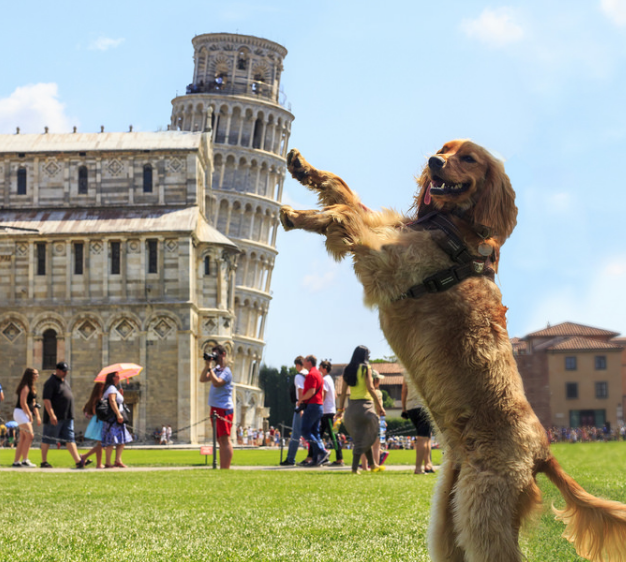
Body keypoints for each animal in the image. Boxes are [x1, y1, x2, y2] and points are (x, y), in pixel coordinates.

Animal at [280, 141, 624, 560]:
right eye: (444, 148)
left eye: (469, 158)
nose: (434, 162)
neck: (454, 230)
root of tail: (543, 451)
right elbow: (343, 191)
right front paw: (304, 172)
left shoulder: (385, 259)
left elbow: (346, 212)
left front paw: (300, 214)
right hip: (449, 512)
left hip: (482, 509)